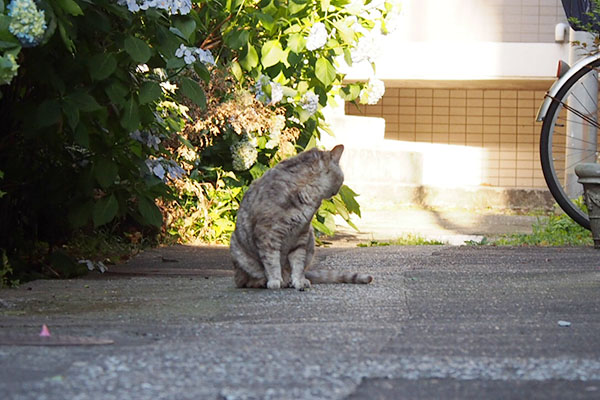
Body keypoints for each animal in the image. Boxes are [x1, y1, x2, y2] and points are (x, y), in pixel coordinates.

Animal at [229, 145, 370, 290]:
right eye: (342, 179)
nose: (337, 191)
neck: (306, 193)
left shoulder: (301, 234)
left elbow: (298, 263)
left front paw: (298, 281)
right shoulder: (267, 233)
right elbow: (272, 261)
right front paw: (275, 280)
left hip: (310, 242)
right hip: (240, 254)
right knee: (245, 280)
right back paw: (264, 281)